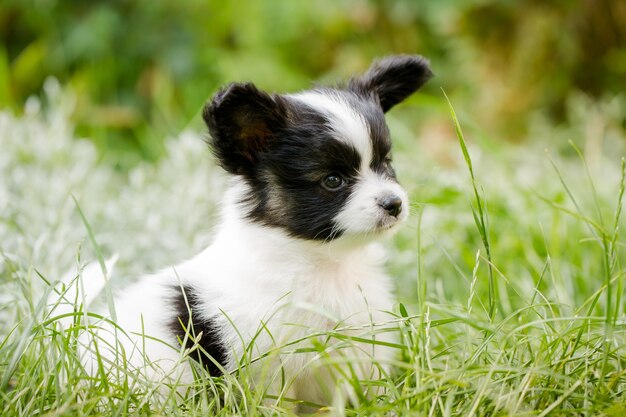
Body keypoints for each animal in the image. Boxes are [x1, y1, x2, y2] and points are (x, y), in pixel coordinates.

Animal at [56, 54, 428, 406]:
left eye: (386, 164)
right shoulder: (268, 368)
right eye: (333, 180)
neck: (325, 263)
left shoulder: (357, 355)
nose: (394, 203)